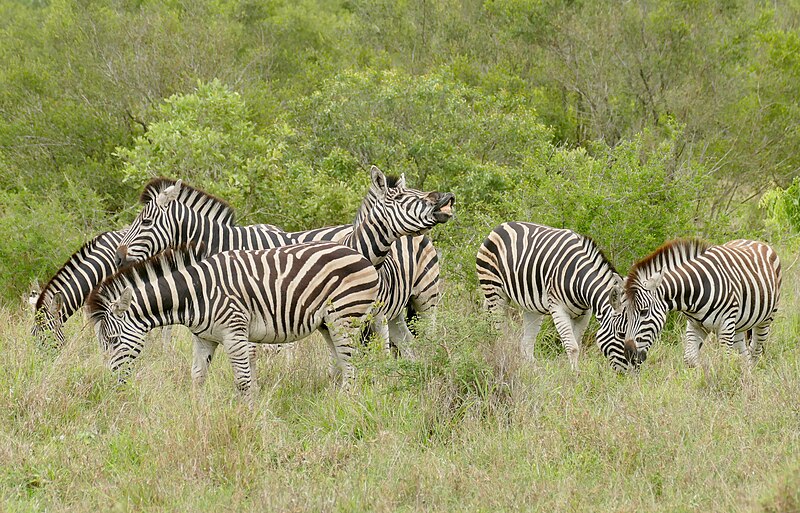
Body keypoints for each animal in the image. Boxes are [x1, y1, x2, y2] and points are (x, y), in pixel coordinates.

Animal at [87, 242, 382, 398]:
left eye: (113, 340)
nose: (110, 384)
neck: (194, 294)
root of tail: (360, 256)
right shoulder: (204, 339)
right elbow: (197, 376)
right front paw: (198, 411)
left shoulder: (235, 334)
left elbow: (243, 381)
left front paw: (248, 416)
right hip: (327, 324)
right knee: (339, 361)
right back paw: (333, 397)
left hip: (346, 317)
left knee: (351, 363)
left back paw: (345, 401)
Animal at [476, 222, 632, 370]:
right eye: (621, 334)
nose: (632, 371)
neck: (579, 279)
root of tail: (500, 226)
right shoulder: (558, 308)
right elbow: (573, 347)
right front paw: (574, 375)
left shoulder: (585, 313)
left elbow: (576, 343)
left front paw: (571, 371)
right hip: (495, 289)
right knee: (500, 331)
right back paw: (503, 356)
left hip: (530, 305)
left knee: (526, 343)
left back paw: (532, 370)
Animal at [620, 238, 784, 366]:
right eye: (626, 315)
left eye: (644, 312)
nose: (628, 354)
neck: (694, 293)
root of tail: (755, 241)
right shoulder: (695, 325)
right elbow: (690, 359)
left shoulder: (725, 325)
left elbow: (724, 359)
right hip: (738, 325)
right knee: (744, 356)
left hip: (765, 319)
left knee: (755, 350)